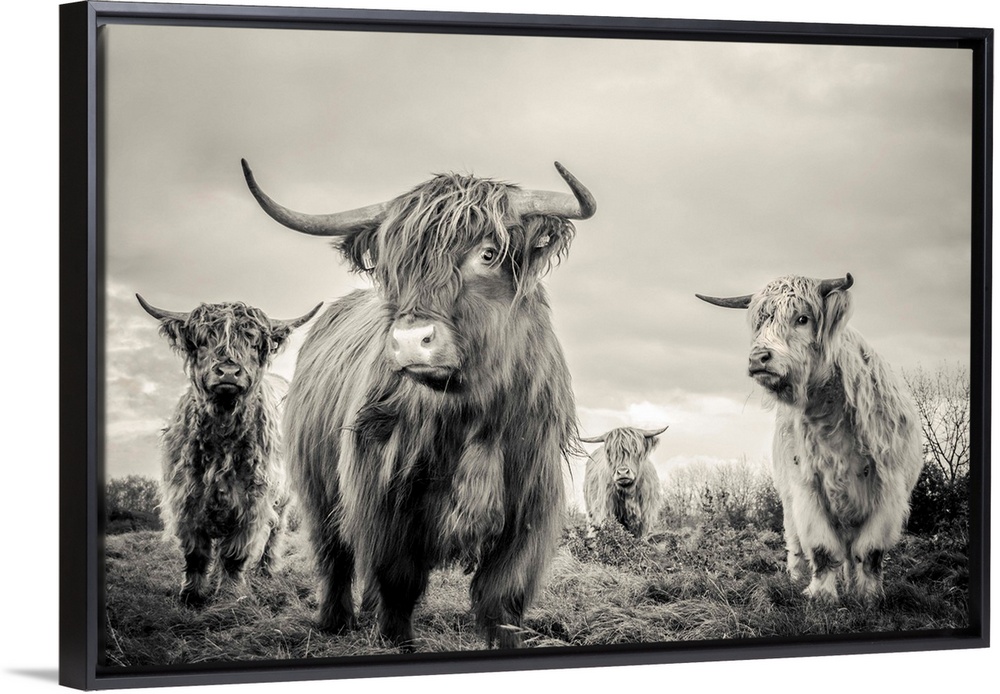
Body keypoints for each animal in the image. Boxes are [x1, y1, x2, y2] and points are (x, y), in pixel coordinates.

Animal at [138, 296, 320, 608]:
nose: (228, 372)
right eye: (202, 341)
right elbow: (196, 553)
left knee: (275, 533)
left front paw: (229, 595)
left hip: (283, 500)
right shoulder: (186, 497)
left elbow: (234, 553)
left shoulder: (252, 500)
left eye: (254, 343)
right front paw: (192, 595)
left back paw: (266, 571)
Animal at [243, 160, 596, 648]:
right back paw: (335, 621)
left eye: (488, 254)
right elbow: (398, 578)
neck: (473, 417)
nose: (411, 340)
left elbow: (503, 592)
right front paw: (395, 640)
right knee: (334, 555)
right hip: (316, 486)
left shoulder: (529, 503)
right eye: (395, 265)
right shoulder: (383, 494)